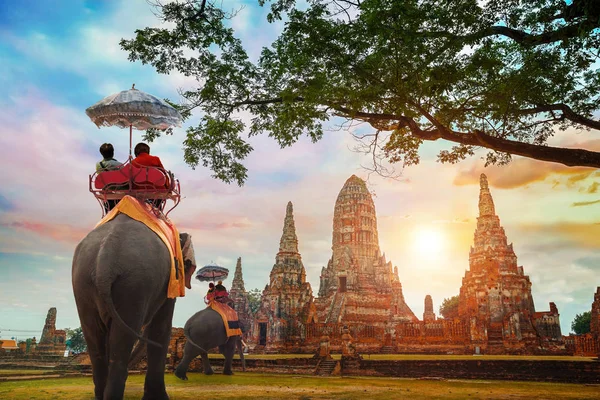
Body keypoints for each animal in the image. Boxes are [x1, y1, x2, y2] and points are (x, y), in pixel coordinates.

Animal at [71, 214, 196, 400]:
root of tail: (104, 258)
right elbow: (161, 328)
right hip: (135, 284)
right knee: (123, 340)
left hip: (83, 282)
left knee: (96, 341)